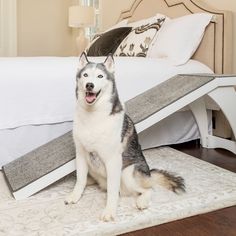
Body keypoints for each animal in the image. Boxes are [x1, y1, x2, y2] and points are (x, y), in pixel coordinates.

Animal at [65, 53, 185, 221]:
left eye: (100, 76)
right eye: (85, 75)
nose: (89, 85)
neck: (93, 116)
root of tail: (149, 173)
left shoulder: (113, 160)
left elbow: (112, 191)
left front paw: (109, 211)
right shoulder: (81, 154)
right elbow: (80, 180)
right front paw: (75, 196)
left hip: (127, 174)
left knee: (149, 189)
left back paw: (142, 201)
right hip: (95, 170)